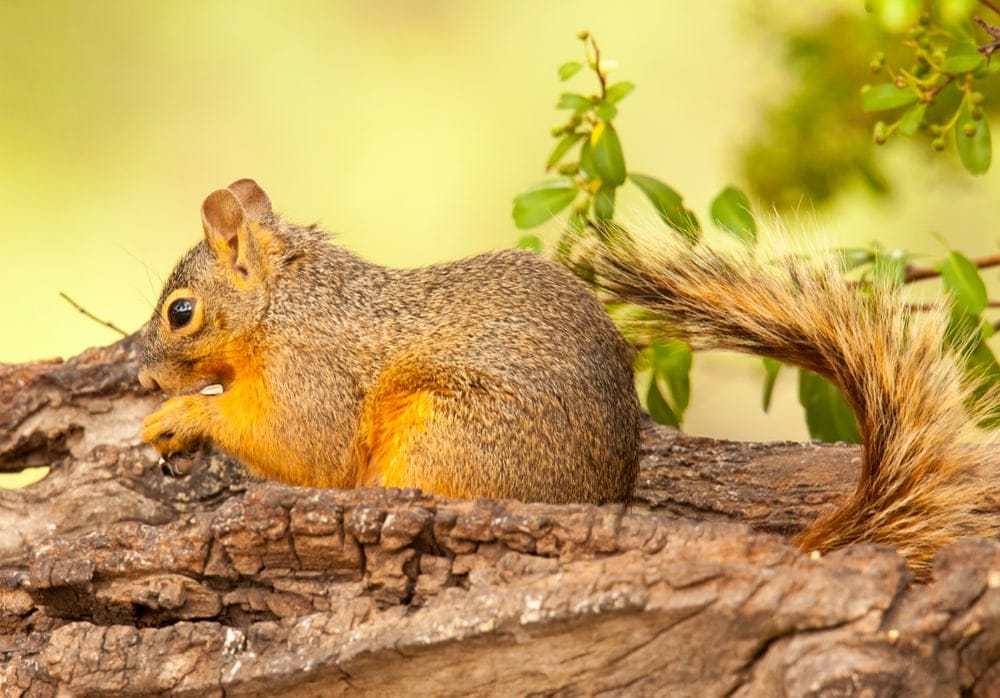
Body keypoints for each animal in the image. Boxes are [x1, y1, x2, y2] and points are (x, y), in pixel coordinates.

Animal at [137, 178, 642, 504]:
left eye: (180, 313)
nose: (145, 380)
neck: (278, 305)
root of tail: (607, 489)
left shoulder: (310, 370)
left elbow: (302, 445)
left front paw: (180, 417)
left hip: (451, 433)